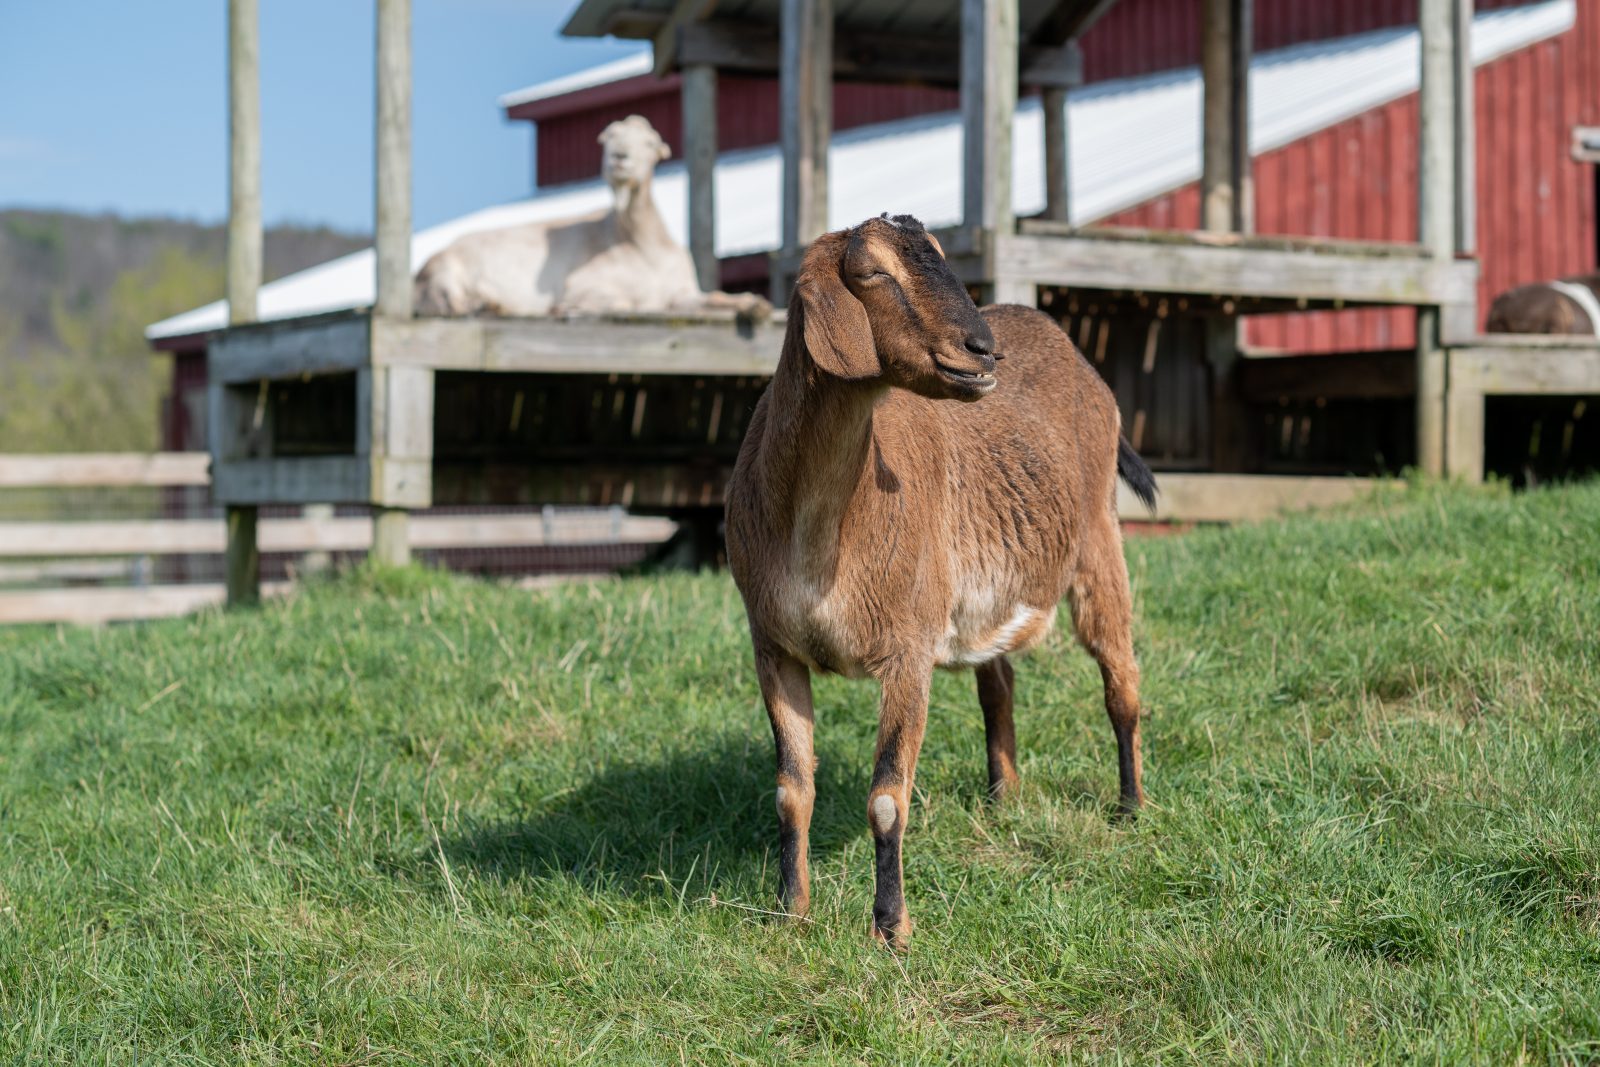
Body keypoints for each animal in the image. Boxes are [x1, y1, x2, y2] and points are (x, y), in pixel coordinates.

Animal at [725, 214, 1157, 947]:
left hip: (1100, 539)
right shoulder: (774, 647)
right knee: (998, 683)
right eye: (872, 271)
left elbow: (886, 799)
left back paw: (1131, 807)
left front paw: (890, 928)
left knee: (1121, 681)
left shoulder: (908, 648)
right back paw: (1003, 797)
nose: (982, 351)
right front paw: (791, 911)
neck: (820, 531)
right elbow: (790, 790)